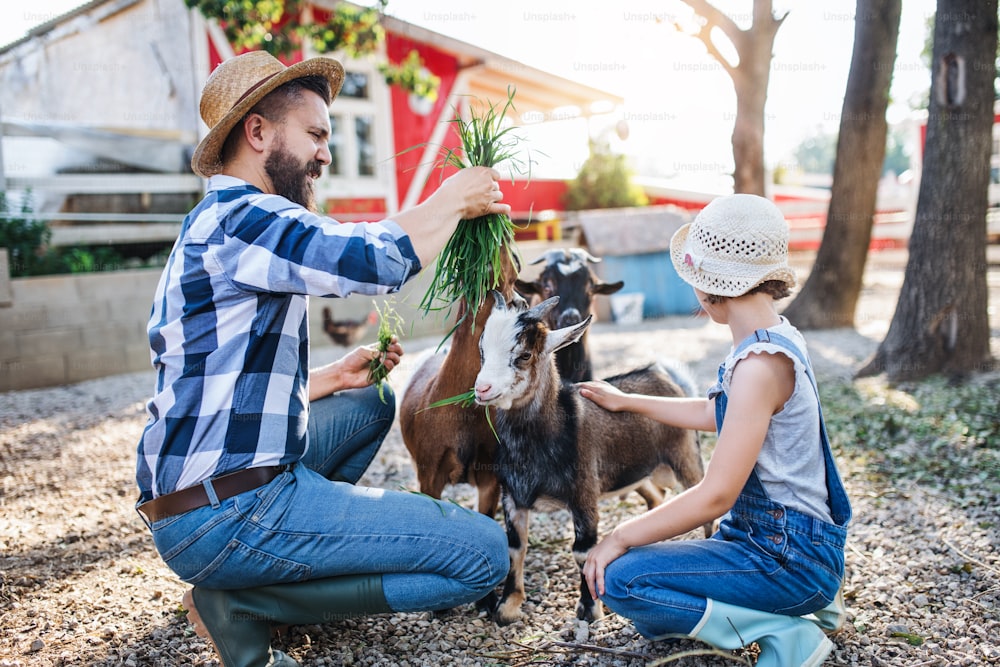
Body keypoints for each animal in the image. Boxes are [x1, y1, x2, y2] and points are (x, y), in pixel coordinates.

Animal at [472, 292, 708, 628]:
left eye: (525, 355)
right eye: (482, 350)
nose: (482, 389)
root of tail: (668, 379)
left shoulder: (583, 495)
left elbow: (583, 552)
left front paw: (588, 610)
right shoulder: (512, 497)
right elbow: (515, 548)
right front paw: (507, 607)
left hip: (687, 458)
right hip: (632, 473)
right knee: (655, 497)